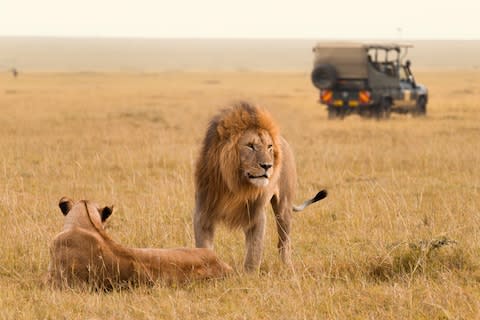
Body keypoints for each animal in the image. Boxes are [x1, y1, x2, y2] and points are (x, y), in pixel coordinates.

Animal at [194, 102, 326, 270]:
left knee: (284, 242)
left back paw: (287, 266)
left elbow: (254, 252)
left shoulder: (256, 215)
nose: (267, 166)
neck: (235, 185)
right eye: (250, 146)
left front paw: (248, 274)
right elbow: (203, 247)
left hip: (283, 208)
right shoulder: (203, 213)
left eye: (269, 146)